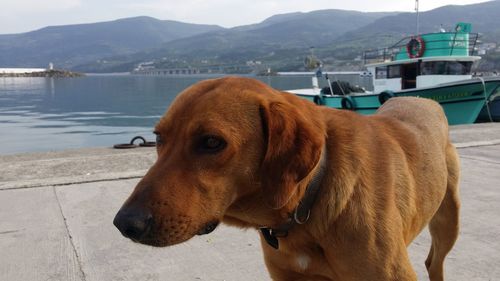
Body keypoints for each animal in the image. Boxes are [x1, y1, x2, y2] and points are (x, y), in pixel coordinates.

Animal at [114, 76, 460, 280]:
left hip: (448, 222)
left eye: (211, 142)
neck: (306, 208)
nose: (125, 224)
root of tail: (422, 100)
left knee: (435, 262)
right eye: (159, 138)